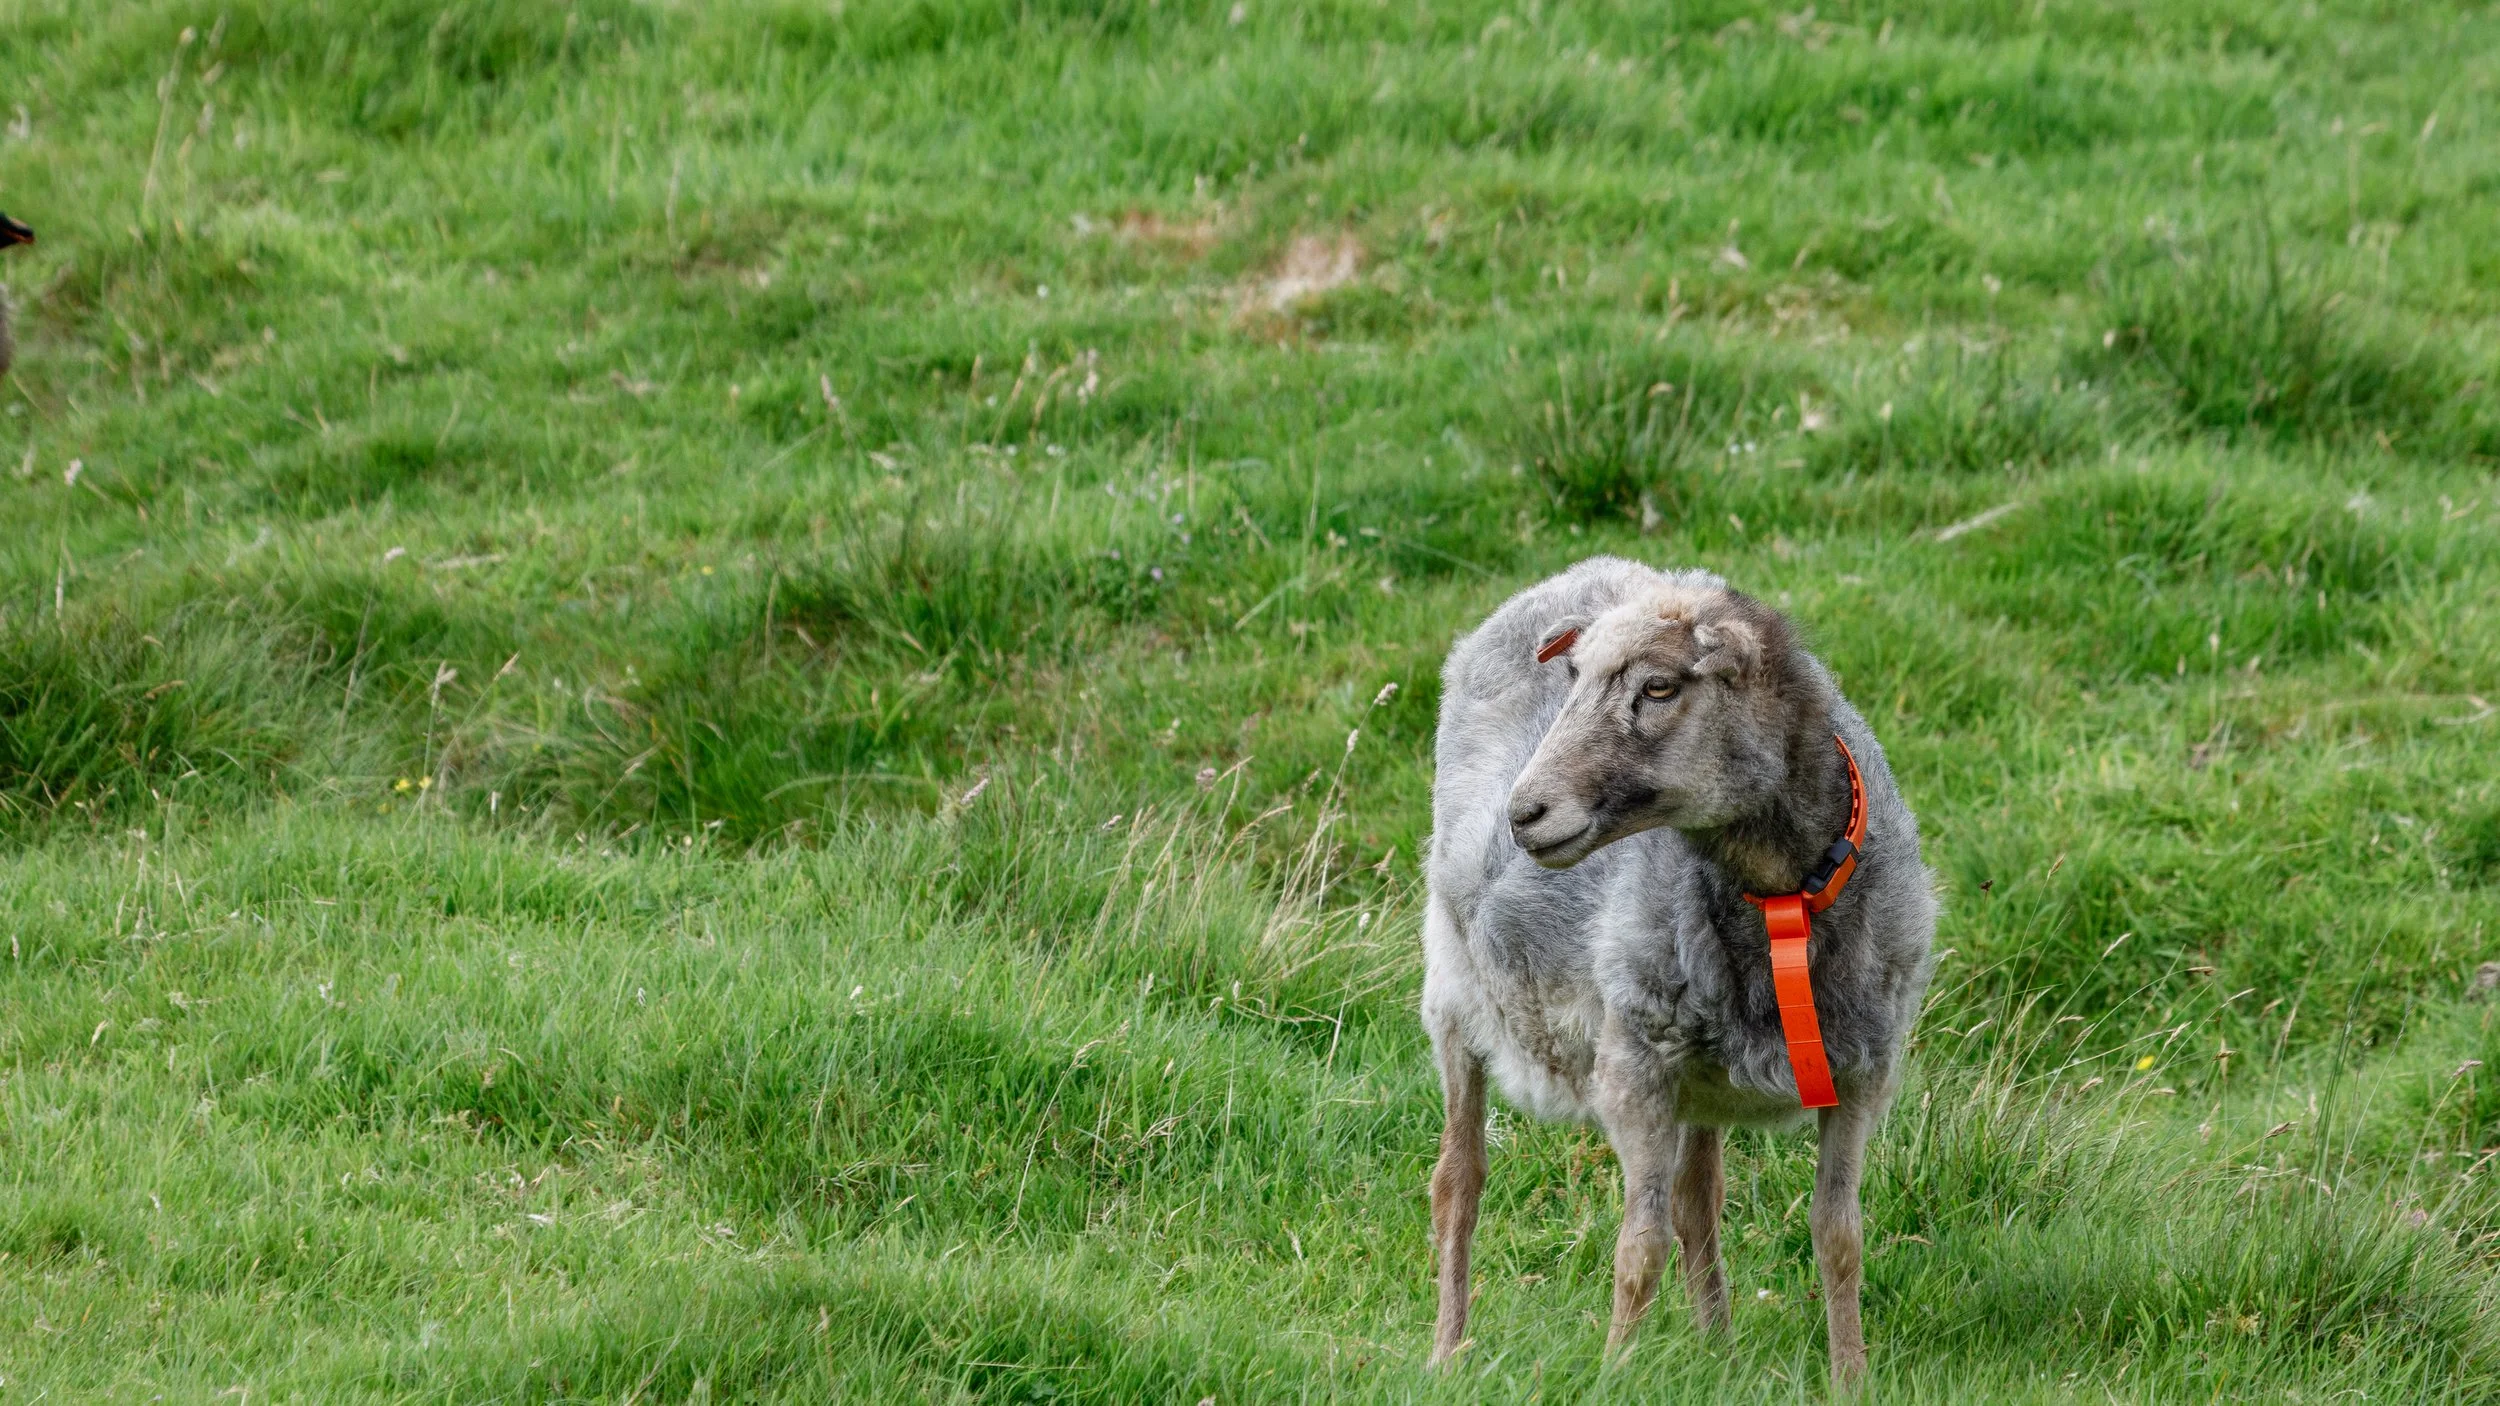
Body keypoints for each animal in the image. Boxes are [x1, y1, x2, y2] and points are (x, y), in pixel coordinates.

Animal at [1422, 556, 1937, 1386]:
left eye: (1659, 687)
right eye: (1574, 681)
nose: (1524, 814)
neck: (1778, 893)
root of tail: (1590, 566)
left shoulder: (1861, 1073)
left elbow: (1838, 1235)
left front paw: (1851, 1377)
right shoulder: (1635, 1068)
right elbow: (1640, 1247)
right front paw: (1611, 1376)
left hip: (1705, 1073)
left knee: (1700, 1199)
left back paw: (1717, 1352)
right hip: (1455, 994)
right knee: (1457, 1184)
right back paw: (1446, 1352)